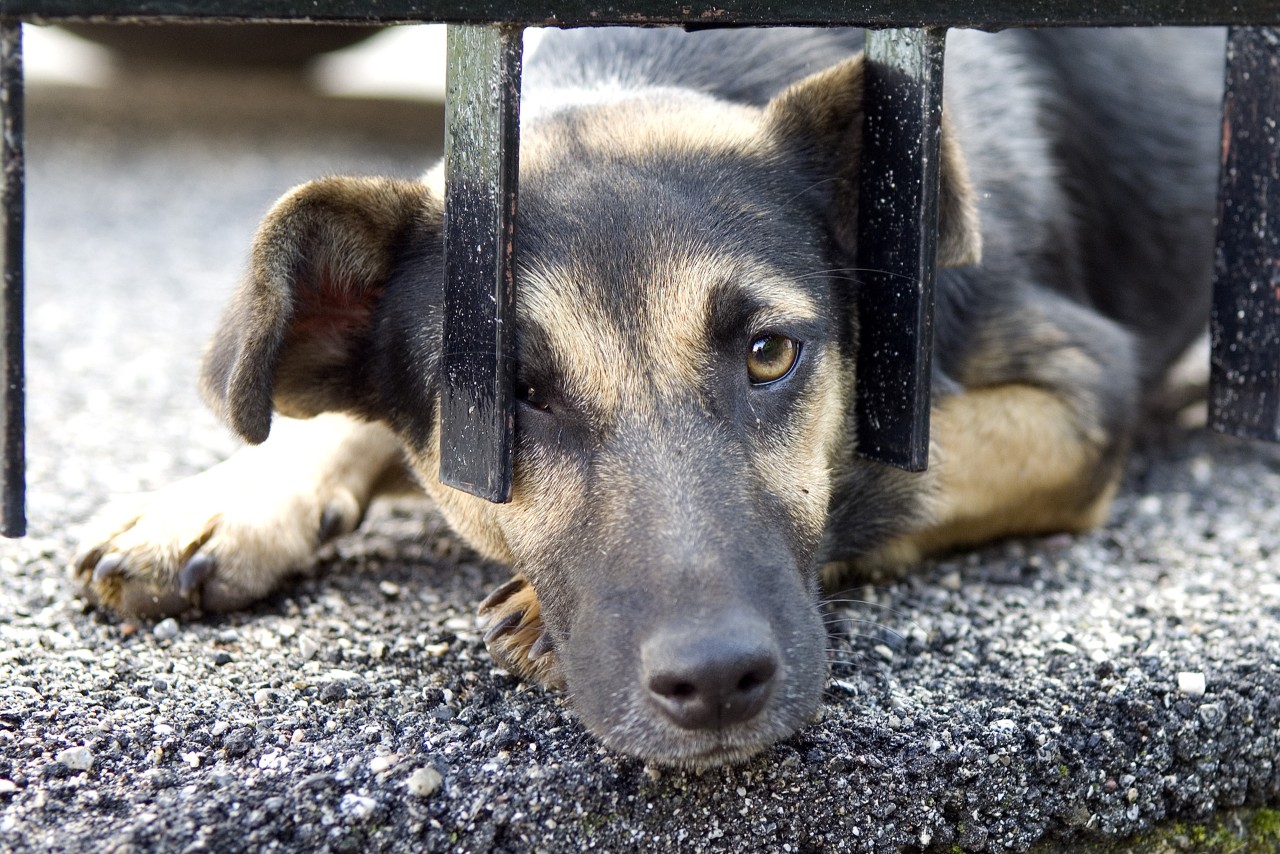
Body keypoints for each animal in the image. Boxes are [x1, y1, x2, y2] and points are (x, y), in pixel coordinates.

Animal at [67, 26, 1218, 773]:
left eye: (768, 354)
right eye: (511, 399)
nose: (715, 684)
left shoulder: (1081, 386)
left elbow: (876, 472)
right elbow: (349, 421)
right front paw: (222, 498)